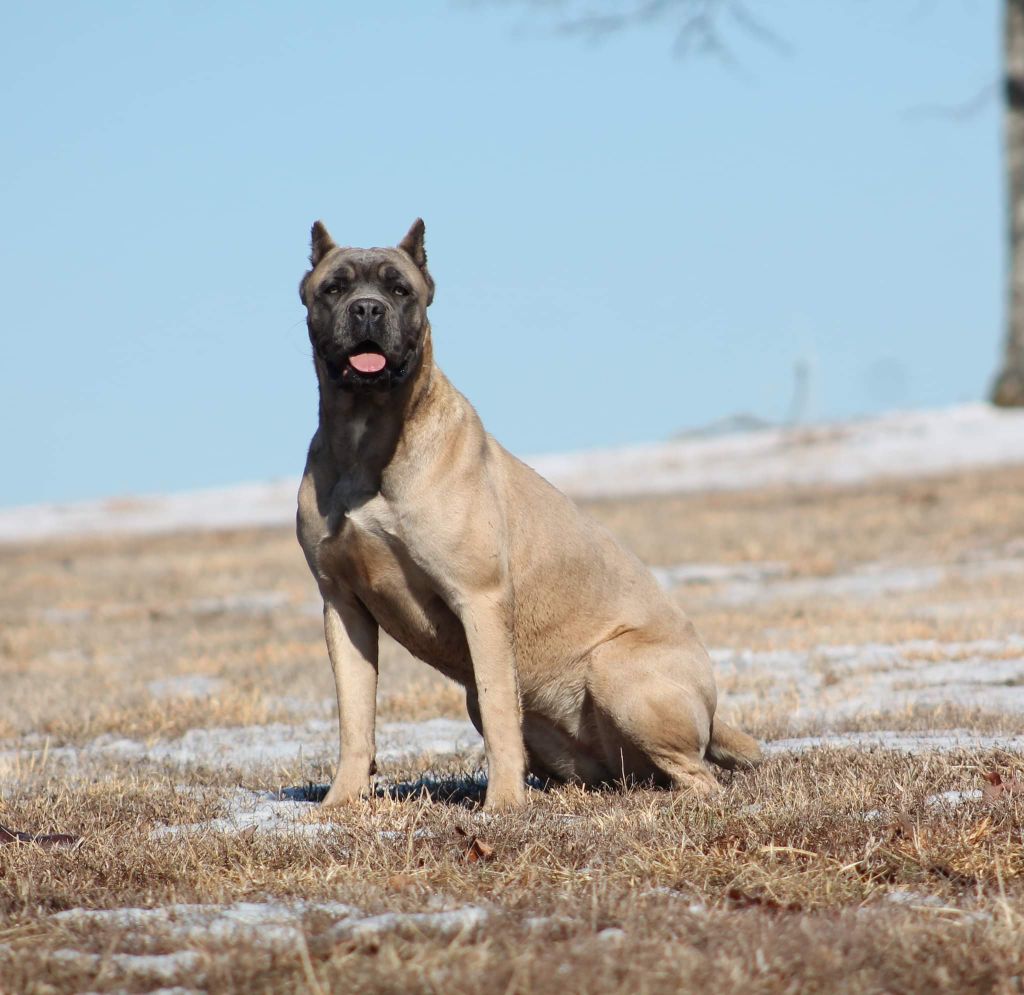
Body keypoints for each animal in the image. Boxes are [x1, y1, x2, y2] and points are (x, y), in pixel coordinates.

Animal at [296, 218, 761, 806]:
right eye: (334, 288)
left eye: (399, 289)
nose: (366, 310)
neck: (368, 435)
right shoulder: (344, 604)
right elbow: (355, 718)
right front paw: (340, 802)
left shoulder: (479, 599)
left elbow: (499, 709)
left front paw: (502, 805)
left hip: (616, 669)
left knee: (700, 775)